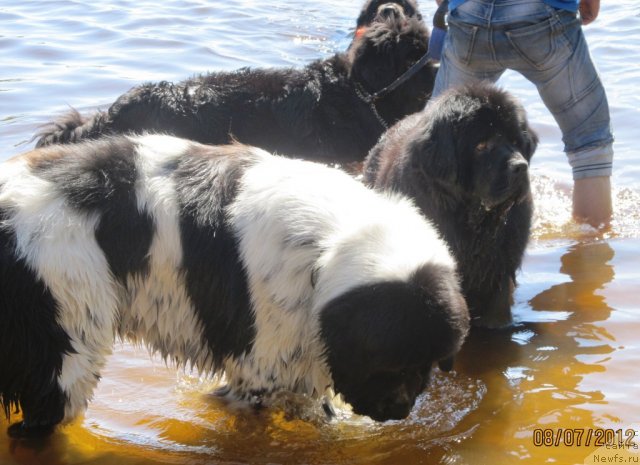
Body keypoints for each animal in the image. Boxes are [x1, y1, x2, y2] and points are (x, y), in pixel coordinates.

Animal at [1, 134, 470, 436]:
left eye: (429, 363)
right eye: (390, 363)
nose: (400, 412)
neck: (327, 248)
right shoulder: (262, 367)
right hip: (65, 344)